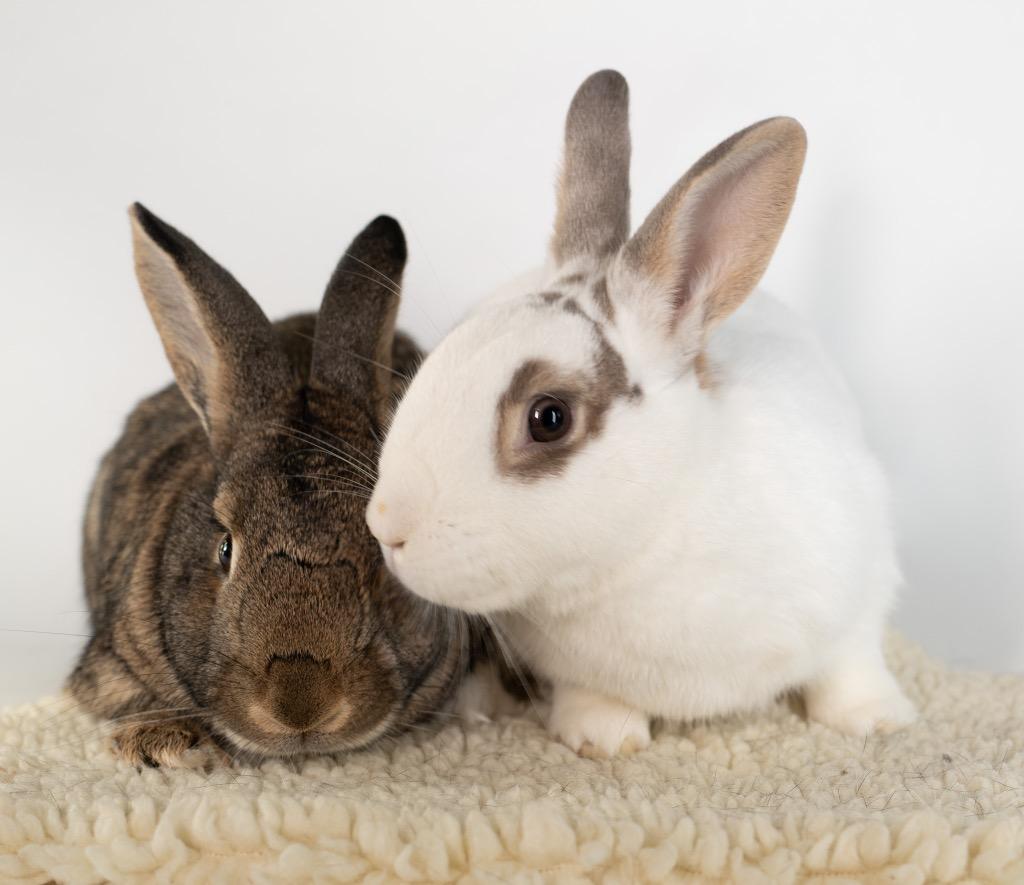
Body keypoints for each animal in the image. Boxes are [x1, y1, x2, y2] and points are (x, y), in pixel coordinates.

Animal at [366, 70, 916, 757]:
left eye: (548, 418)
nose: (386, 527)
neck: (652, 543)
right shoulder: (574, 667)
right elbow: (590, 697)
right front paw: (601, 738)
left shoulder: (860, 589)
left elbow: (851, 664)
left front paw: (878, 721)